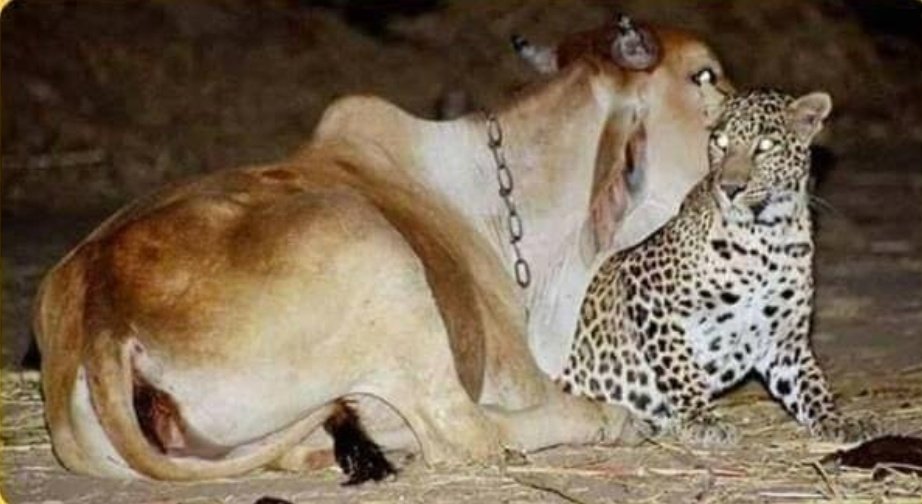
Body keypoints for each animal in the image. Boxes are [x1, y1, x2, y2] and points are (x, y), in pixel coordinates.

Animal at [559, 86, 878, 447]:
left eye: (765, 146)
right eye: (721, 142)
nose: (729, 188)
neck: (767, 240)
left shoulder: (785, 342)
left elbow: (811, 382)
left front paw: (835, 419)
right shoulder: (645, 289)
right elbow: (679, 365)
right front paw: (702, 419)